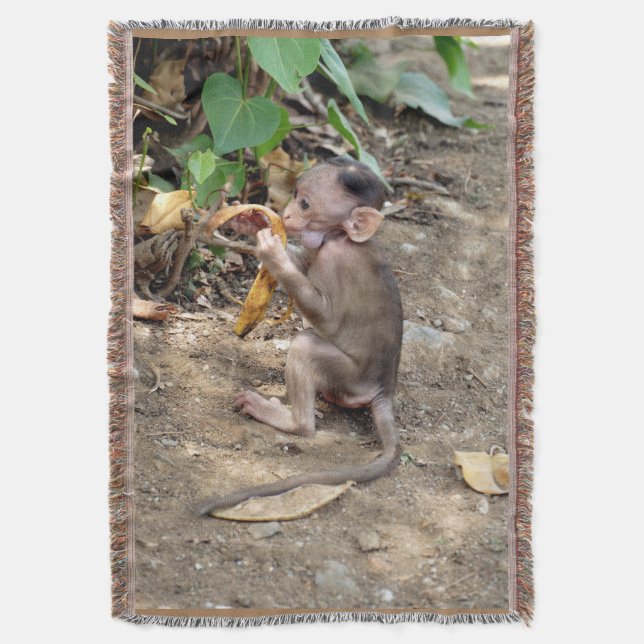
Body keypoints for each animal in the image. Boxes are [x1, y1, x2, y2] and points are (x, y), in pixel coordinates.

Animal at [194, 157, 403, 516]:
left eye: (305, 204)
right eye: (294, 195)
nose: (287, 214)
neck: (338, 237)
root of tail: (383, 388)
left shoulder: (338, 262)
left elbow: (328, 320)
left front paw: (272, 253)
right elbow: (303, 262)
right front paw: (252, 221)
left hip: (350, 377)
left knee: (305, 346)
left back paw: (292, 421)